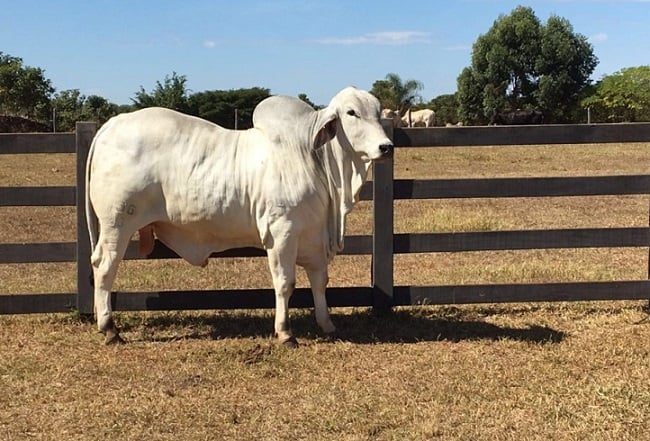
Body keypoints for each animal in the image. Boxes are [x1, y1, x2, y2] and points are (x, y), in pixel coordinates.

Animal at [83, 87, 392, 348]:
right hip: (117, 224)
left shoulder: (314, 235)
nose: (386, 147)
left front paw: (326, 324)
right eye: (351, 112)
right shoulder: (282, 233)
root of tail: (111, 125)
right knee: (105, 267)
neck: (312, 158)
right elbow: (285, 283)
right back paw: (109, 329)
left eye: (378, 112)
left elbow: (319, 281)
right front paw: (285, 333)